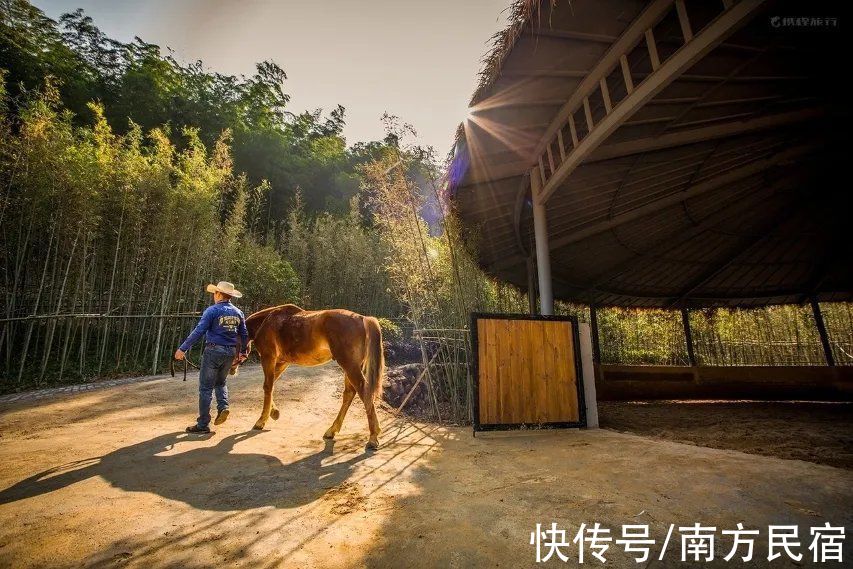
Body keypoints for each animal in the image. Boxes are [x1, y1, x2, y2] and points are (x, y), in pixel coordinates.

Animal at [238, 304, 388, 450]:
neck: (267, 321)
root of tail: (362, 318)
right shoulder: (282, 362)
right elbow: (270, 385)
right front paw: (274, 412)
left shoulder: (268, 358)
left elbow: (268, 386)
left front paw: (261, 420)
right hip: (351, 367)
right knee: (349, 394)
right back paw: (332, 430)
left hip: (350, 366)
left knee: (364, 392)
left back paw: (373, 437)